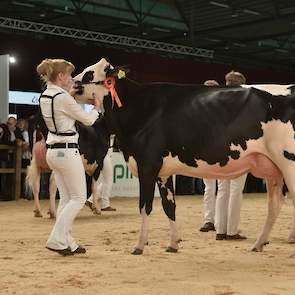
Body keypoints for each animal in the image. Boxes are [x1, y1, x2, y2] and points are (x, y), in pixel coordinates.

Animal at [73, 59, 295, 256]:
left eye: (90, 73)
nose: (73, 83)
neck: (139, 108)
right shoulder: (163, 172)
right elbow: (169, 206)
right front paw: (173, 244)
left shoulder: (147, 165)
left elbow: (145, 206)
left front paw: (139, 246)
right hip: (273, 169)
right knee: (275, 205)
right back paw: (258, 244)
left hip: (288, 163)